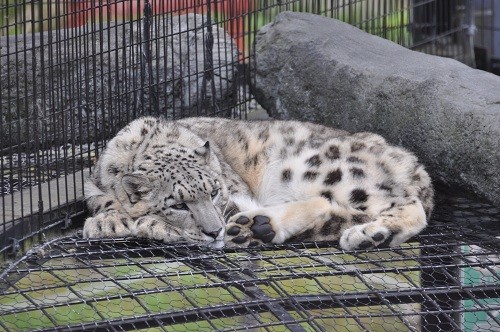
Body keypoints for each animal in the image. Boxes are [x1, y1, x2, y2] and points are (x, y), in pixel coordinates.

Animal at [83, 116, 434, 249]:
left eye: (214, 192)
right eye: (179, 204)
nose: (213, 231)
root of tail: (414, 162)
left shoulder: (235, 196)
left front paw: (152, 224)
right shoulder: (94, 185)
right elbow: (102, 200)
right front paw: (107, 221)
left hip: (321, 169)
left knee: (405, 206)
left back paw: (370, 235)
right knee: (329, 207)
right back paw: (255, 228)